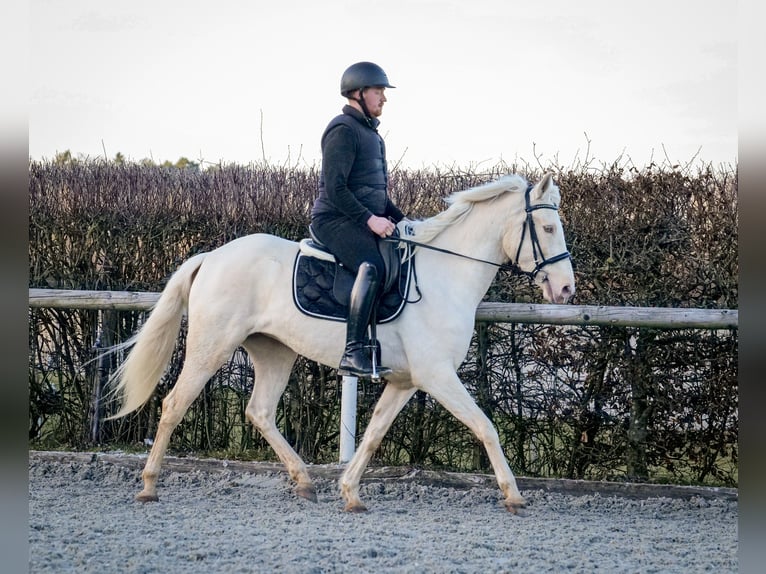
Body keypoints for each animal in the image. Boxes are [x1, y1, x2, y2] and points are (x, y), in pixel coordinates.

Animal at [109, 173, 576, 516]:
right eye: (548, 227)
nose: (567, 288)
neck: (444, 275)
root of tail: (212, 256)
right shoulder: (437, 375)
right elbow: (485, 427)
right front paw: (513, 494)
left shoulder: (406, 381)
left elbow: (373, 434)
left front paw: (350, 491)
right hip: (212, 347)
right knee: (174, 404)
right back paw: (149, 487)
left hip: (274, 351)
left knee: (259, 411)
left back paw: (303, 482)